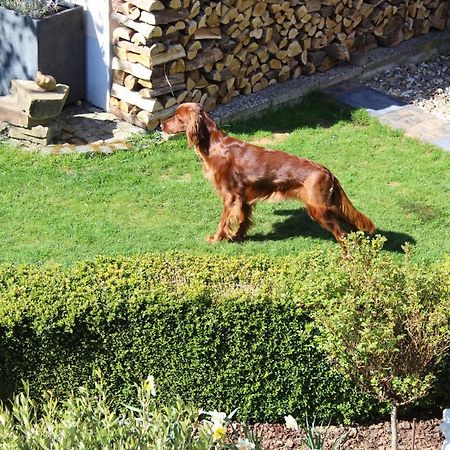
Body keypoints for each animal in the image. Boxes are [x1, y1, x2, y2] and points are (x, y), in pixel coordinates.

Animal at [160, 102, 374, 246]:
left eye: (178, 117)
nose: (161, 125)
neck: (214, 145)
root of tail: (326, 171)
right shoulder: (243, 196)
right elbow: (243, 219)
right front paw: (238, 236)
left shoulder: (230, 196)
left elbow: (224, 220)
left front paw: (216, 238)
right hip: (329, 205)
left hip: (319, 208)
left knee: (341, 233)